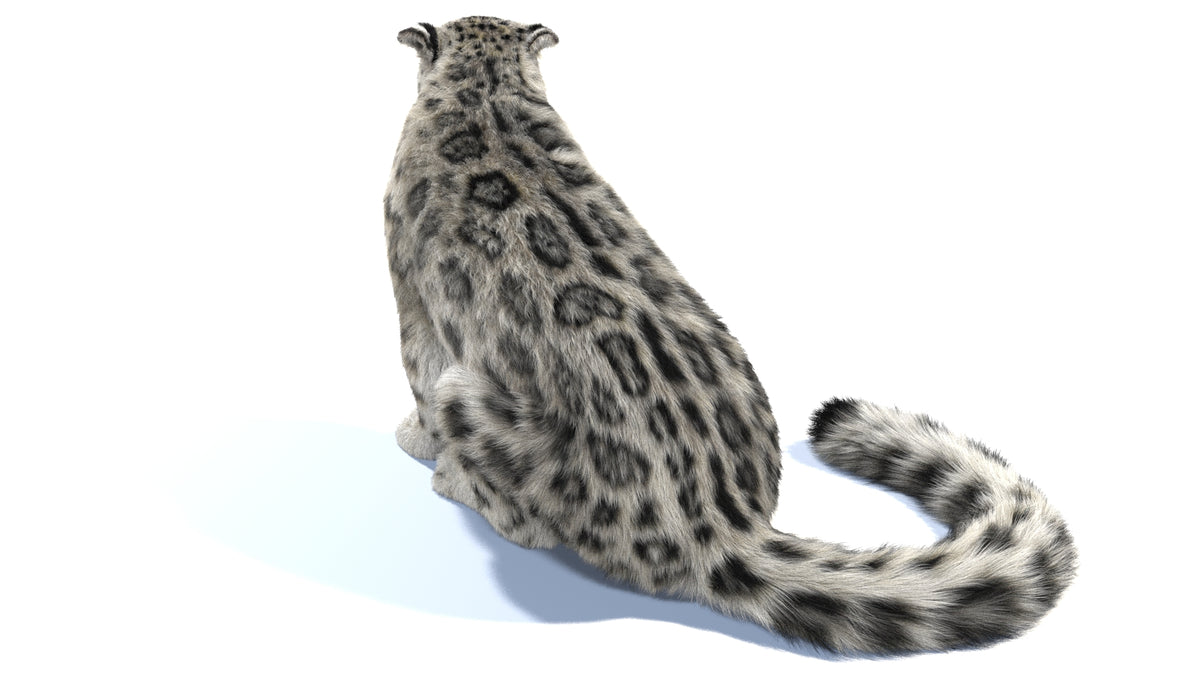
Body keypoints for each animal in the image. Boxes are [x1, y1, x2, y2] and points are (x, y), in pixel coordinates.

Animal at [382, 16, 1076, 655]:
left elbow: (416, 368)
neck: (488, 90)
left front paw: (414, 440)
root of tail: (724, 524)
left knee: (525, 519)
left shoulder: (410, 295)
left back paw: (455, 481)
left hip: (469, 396)